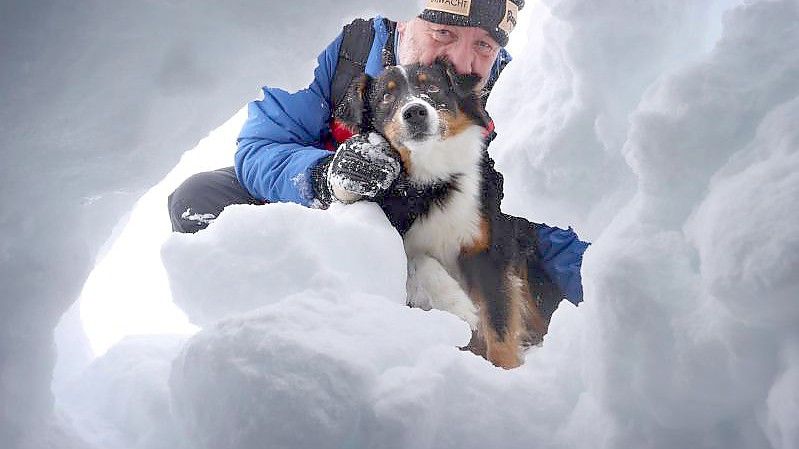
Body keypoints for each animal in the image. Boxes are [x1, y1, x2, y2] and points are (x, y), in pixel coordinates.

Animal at [332, 59, 556, 368]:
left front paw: (504, 371)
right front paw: (460, 307)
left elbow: (500, 326)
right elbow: (419, 261)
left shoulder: (490, 250)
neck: (435, 182)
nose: (415, 112)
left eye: (432, 86)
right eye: (386, 96)